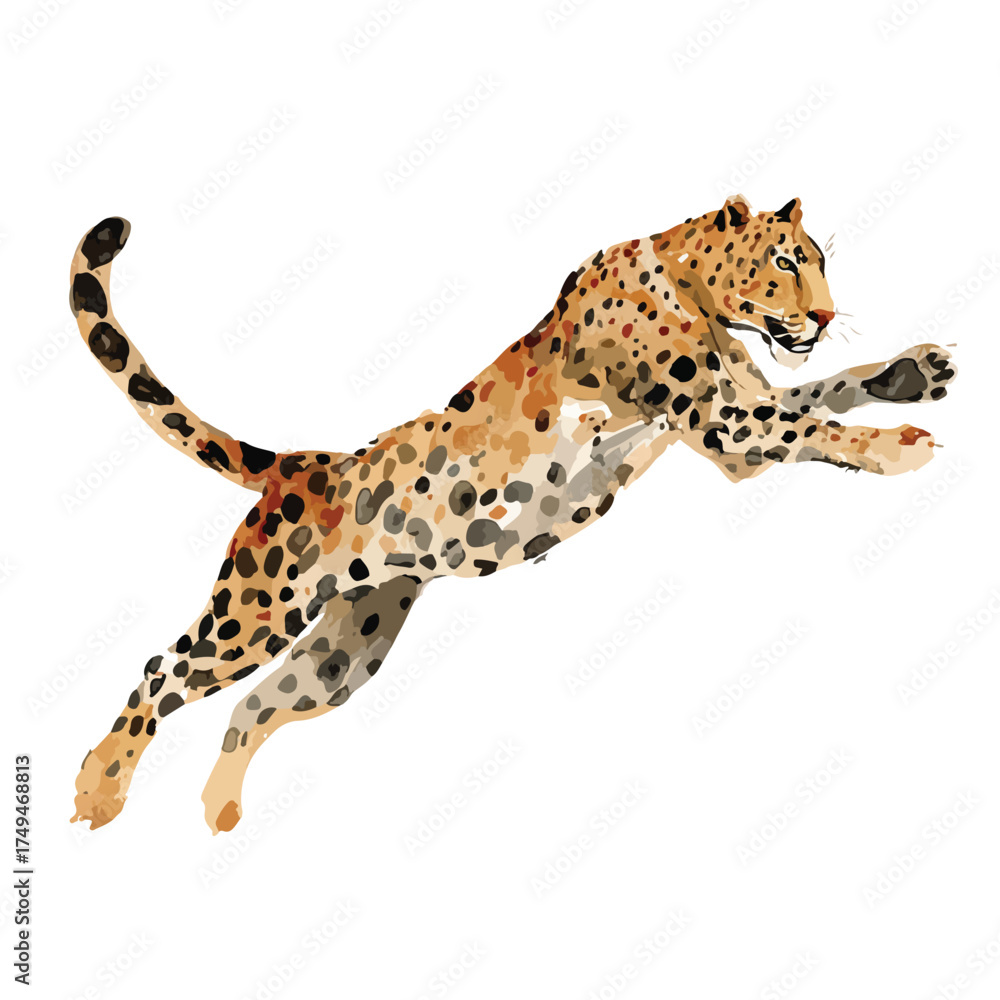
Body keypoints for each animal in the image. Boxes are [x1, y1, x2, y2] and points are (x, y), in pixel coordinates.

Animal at [68, 196, 956, 833]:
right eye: (785, 262)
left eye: (818, 264)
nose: (827, 316)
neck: (698, 296)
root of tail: (300, 464)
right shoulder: (723, 422)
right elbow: (816, 424)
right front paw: (901, 447)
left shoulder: (736, 420)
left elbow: (823, 391)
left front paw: (914, 372)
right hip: (260, 608)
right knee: (163, 670)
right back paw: (97, 794)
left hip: (346, 650)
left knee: (252, 707)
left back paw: (219, 815)